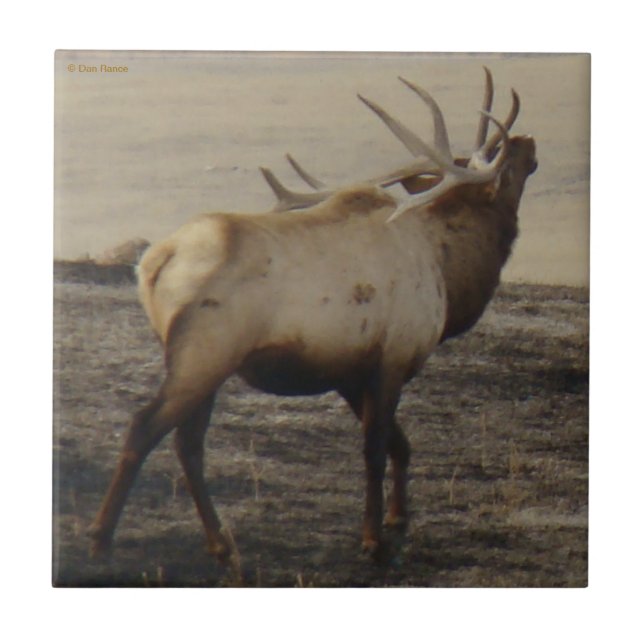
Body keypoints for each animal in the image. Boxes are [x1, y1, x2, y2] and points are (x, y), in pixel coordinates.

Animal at [88, 68, 537, 562]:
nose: (528, 139)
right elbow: (375, 448)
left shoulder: (350, 371)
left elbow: (400, 444)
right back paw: (102, 538)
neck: (450, 269)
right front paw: (373, 537)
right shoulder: (393, 357)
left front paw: (399, 517)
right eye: (506, 162)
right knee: (145, 428)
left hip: (196, 362)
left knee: (187, 442)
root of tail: (154, 262)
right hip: (204, 355)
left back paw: (219, 541)